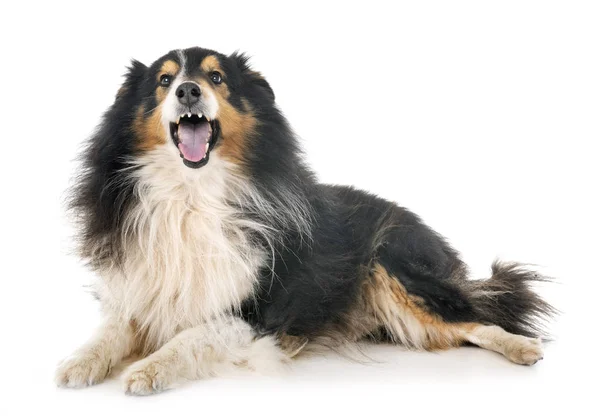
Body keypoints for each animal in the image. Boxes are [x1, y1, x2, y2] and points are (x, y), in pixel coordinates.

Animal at [55, 47, 552, 394]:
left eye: (216, 77)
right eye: (163, 80)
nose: (188, 90)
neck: (190, 193)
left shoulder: (257, 310)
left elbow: (192, 334)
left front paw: (147, 370)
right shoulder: (141, 288)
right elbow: (111, 331)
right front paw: (77, 364)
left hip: (395, 271)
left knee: (475, 321)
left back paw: (524, 349)